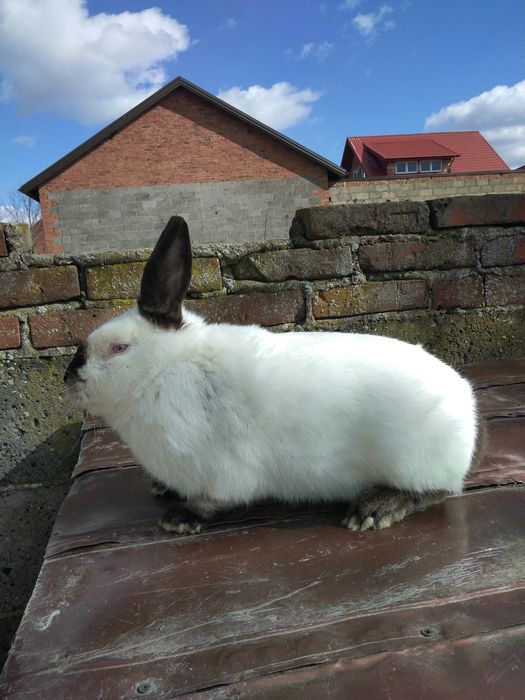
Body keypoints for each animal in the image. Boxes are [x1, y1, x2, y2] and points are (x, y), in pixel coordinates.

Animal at [64, 216, 478, 532]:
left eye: (119, 348)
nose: (69, 377)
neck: (165, 369)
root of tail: (466, 407)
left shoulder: (222, 473)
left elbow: (214, 499)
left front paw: (179, 519)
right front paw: (162, 490)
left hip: (415, 461)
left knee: (434, 491)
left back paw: (373, 510)